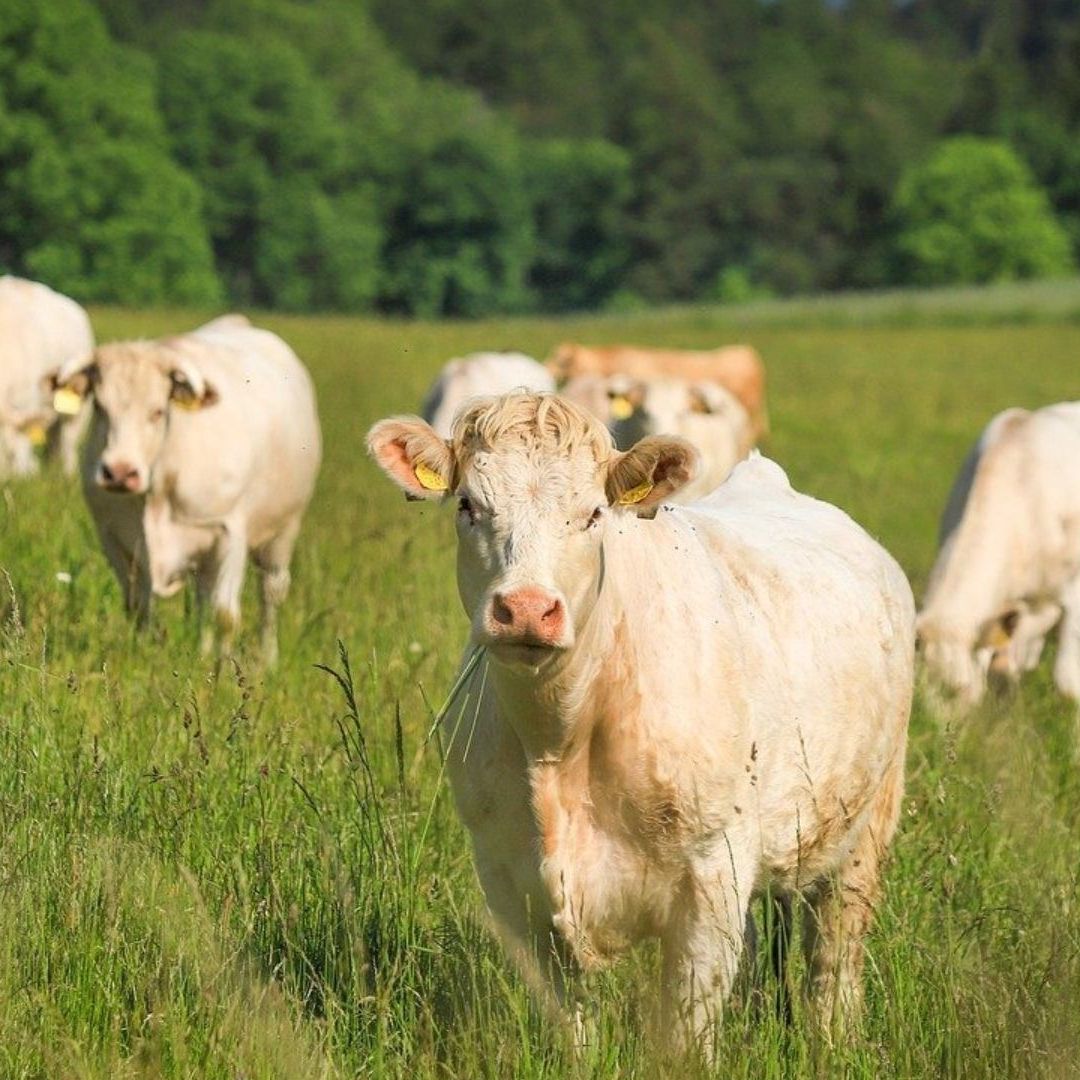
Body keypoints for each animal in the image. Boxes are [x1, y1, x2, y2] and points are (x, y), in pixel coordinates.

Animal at [52, 315, 321, 662]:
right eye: (99, 407)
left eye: (158, 411)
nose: (120, 472)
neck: (158, 487)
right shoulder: (113, 536)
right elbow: (139, 607)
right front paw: (141, 657)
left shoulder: (229, 535)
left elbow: (225, 616)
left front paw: (223, 670)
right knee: (202, 597)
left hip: (283, 532)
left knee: (270, 593)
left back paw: (267, 659)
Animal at [367, 392, 914, 1052]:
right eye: (469, 505)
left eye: (594, 513)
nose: (526, 608)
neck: (559, 740)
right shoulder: (508, 878)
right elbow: (572, 1023)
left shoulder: (712, 874)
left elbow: (685, 1033)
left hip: (866, 826)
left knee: (834, 959)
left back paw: (835, 1042)